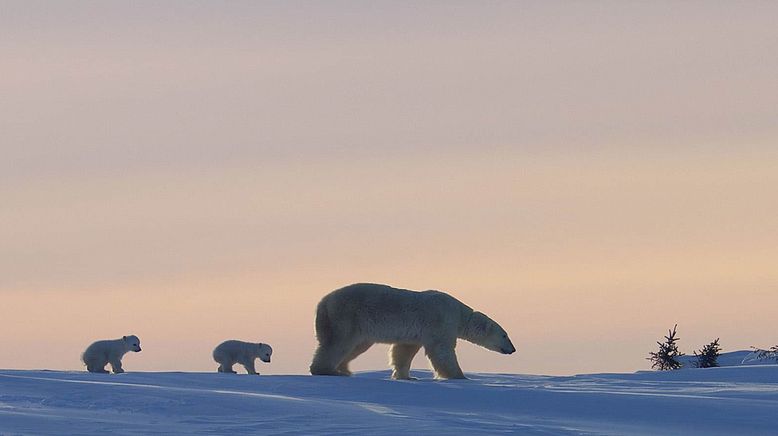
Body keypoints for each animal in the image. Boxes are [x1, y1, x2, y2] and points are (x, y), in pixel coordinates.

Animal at [310, 284, 516, 380]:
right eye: (505, 335)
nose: (513, 349)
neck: (459, 314)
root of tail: (322, 303)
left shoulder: (414, 334)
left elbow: (403, 351)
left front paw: (406, 376)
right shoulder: (441, 322)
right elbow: (442, 351)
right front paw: (460, 376)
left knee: (356, 346)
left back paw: (344, 369)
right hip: (347, 316)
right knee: (338, 344)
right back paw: (329, 370)